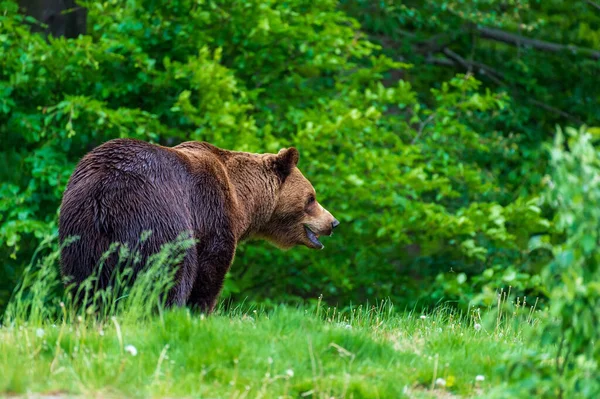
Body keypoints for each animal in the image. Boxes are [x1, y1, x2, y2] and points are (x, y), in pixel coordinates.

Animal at [58, 139, 340, 314]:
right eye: (311, 198)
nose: (333, 222)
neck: (243, 201)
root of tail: (104, 193)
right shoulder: (211, 212)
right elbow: (210, 270)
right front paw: (200, 310)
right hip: (155, 217)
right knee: (170, 272)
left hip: (81, 234)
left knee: (86, 284)